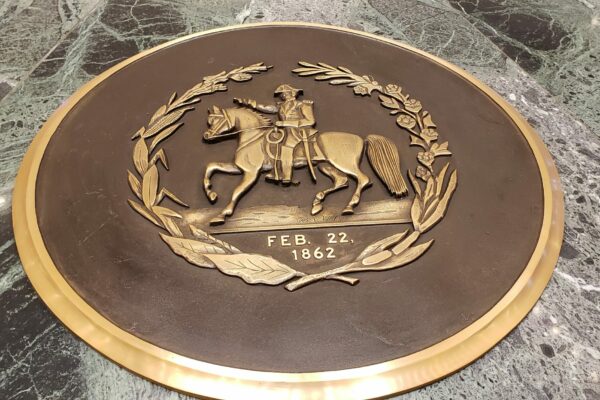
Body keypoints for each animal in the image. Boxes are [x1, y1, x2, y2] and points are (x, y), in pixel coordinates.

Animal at [202, 105, 408, 225]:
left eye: (217, 120)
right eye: (209, 121)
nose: (206, 136)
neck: (253, 137)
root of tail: (362, 138)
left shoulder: (251, 173)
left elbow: (236, 191)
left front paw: (222, 215)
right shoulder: (239, 168)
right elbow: (211, 166)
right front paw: (211, 193)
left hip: (343, 162)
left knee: (362, 179)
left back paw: (349, 207)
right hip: (325, 166)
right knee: (341, 181)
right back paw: (317, 204)